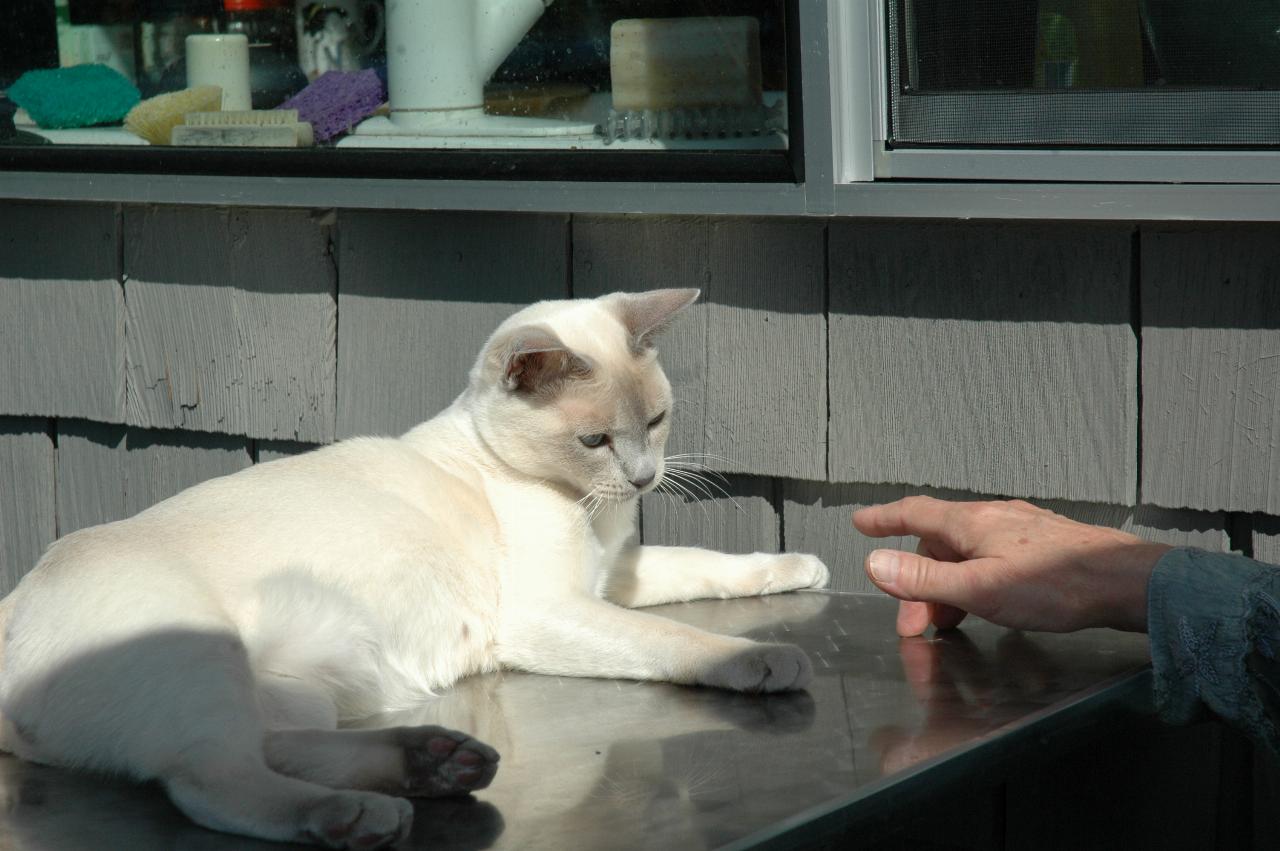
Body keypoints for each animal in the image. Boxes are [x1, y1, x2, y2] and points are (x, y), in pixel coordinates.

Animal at [0, 289, 829, 844]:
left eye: (656, 421)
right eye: (595, 440)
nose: (645, 477)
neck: (589, 510)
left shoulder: (614, 573)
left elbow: (705, 564)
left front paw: (801, 565)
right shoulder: (550, 612)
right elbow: (679, 642)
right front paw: (766, 658)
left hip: (292, 691)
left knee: (271, 745)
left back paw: (435, 763)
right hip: (204, 661)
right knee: (212, 782)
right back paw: (363, 813)